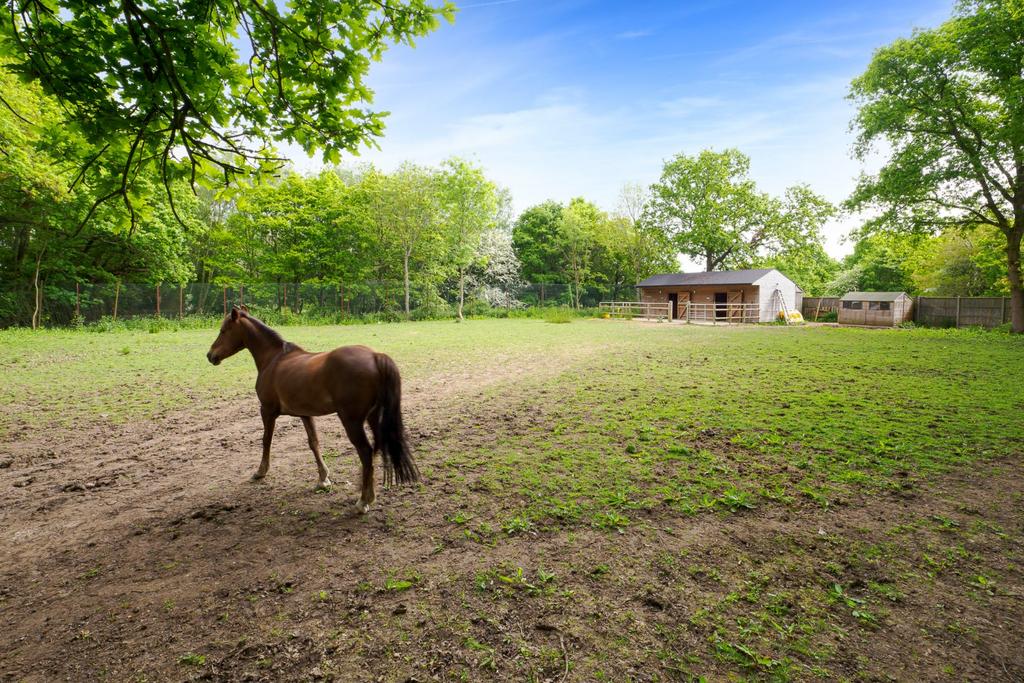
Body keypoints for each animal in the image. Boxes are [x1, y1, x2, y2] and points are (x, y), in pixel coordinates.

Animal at [205, 305, 417, 511]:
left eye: (223, 330)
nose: (210, 355)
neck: (274, 359)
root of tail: (375, 356)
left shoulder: (267, 410)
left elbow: (266, 440)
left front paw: (260, 471)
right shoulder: (305, 414)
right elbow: (313, 443)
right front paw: (323, 479)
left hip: (351, 421)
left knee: (365, 452)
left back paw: (363, 500)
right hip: (373, 417)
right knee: (376, 449)